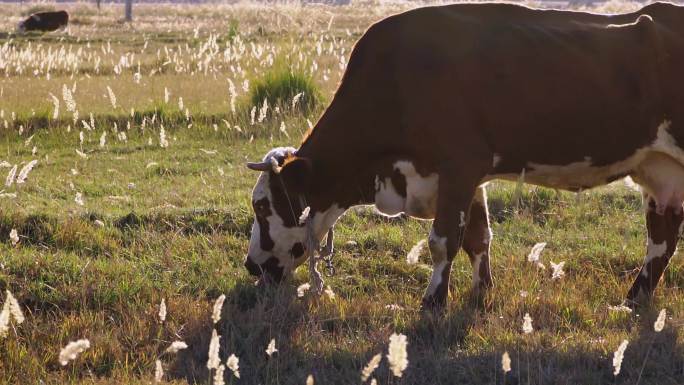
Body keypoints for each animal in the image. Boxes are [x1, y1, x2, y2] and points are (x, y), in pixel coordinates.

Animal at [246, 2, 684, 308]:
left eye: (263, 207)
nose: (250, 265)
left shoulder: (458, 165)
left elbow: (443, 240)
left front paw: (432, 302)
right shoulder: (467, 176)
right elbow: (478, 237)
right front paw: (479, 293)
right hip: (660, 169)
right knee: (662, 238)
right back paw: (632, 300)